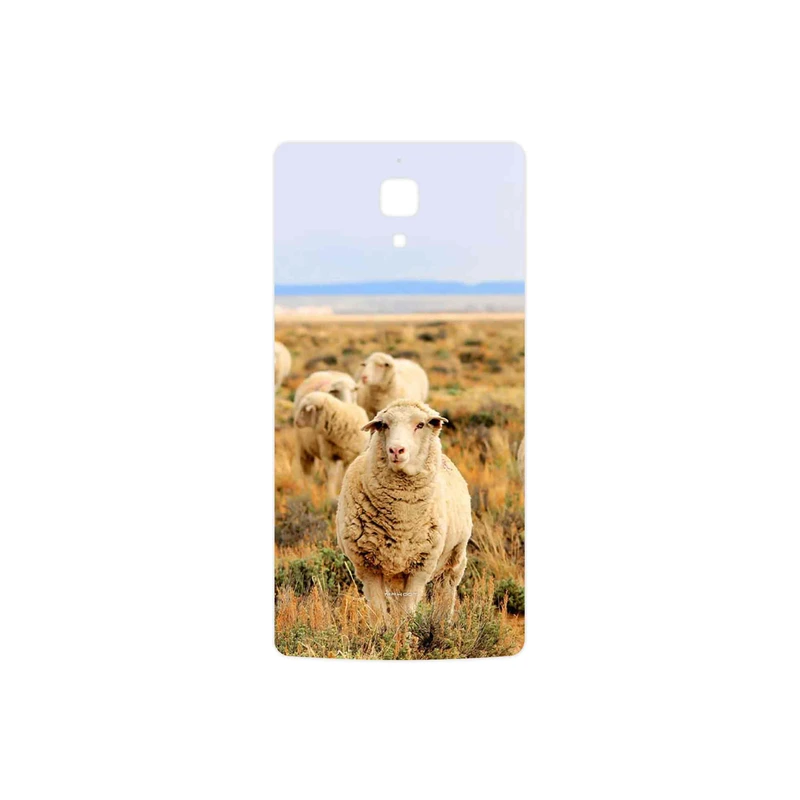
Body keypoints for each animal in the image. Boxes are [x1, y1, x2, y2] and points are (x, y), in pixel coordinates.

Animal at [336, 399, 472, 623]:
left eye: (420, 425)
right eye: (384, 425)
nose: (396, 450)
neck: (401, 518)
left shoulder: (420, 567)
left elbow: (406, 613)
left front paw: (405, 632)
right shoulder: (367, 566)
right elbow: (379, 613)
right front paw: (383, 631)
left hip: (454, 558)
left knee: (446, 591)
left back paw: (442, 623)